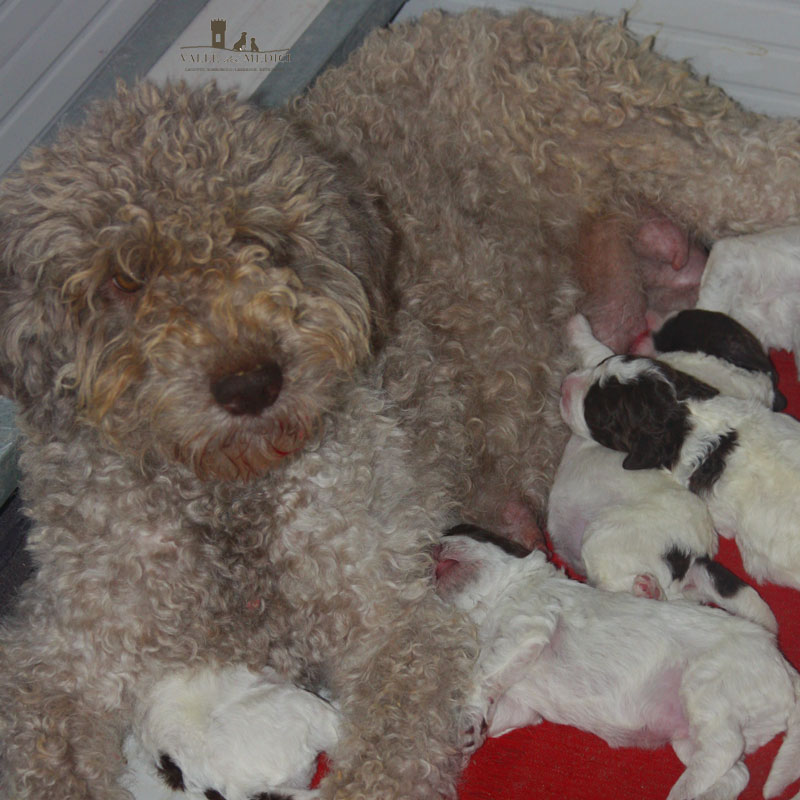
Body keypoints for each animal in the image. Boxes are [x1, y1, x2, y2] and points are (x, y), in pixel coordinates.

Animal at [440, 524, 800, 800]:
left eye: (471, 531)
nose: (435, 542)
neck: (494, 605)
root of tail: (779, 658)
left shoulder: (530, 624)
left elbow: (480, 673)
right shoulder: (519, 707)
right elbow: (492, 697)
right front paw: (468, 733)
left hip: (707, 685)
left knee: (725, 749)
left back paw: (680, 792)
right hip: (690, 735)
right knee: (736, 771)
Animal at [552, 312, 776, 632]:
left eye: (599, 416)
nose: (566, 385)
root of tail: (694, 559)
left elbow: (596, 349)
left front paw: (575, 324)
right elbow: (601, 353)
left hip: (603, 536)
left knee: (625, 591)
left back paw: (645, 589)